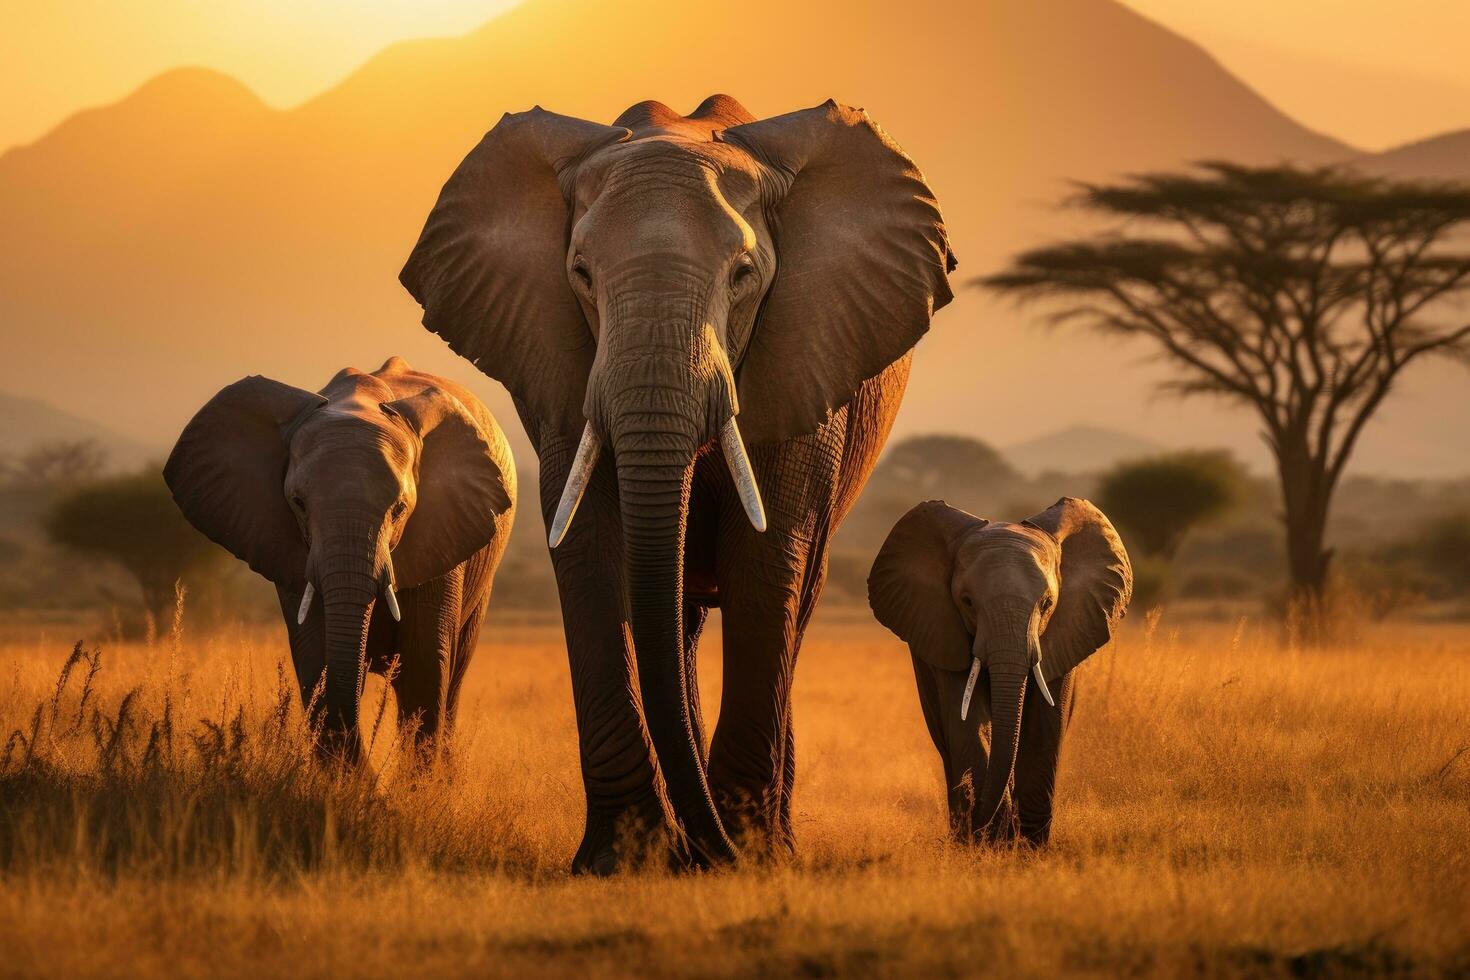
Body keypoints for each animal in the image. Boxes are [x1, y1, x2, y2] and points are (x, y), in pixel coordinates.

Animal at [161, 354, 514, 758]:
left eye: (399, 509)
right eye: (298, 503)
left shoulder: (443, 534)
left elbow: (424, 668)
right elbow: (317, 662)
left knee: (453, 677)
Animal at [399, 95, 952, 869]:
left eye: (744, 275)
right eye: (581, 274)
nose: (713, 851)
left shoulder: (806, 353)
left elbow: (768, 558)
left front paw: (751, 856)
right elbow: (589, 551)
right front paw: (621, 860)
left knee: (795, 596)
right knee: (679, 613)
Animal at [864, 499, 1128, 846]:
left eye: (1047, 604)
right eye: (967, 602)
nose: (981, 825)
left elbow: (1046, 722)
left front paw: (1028, 847)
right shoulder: (944, 631)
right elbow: (968, 722)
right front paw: (988, 842)